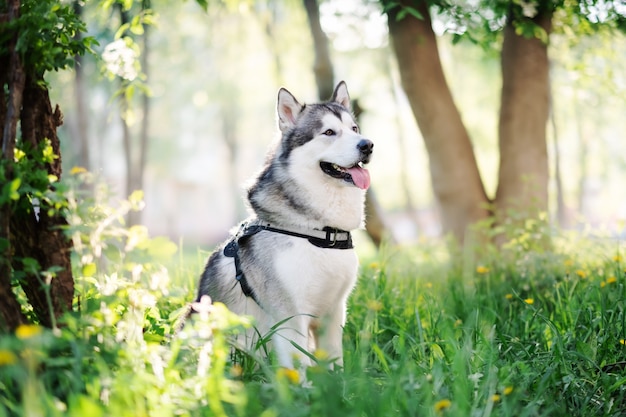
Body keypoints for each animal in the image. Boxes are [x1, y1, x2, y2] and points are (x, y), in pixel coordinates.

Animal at [193, 81, 372, 370]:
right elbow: (298, 365)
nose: (368, 145)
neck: (321, 233)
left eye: (354, 129)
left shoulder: (334, 312)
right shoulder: (289, 314)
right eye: (329, 132)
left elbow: (334, 361)